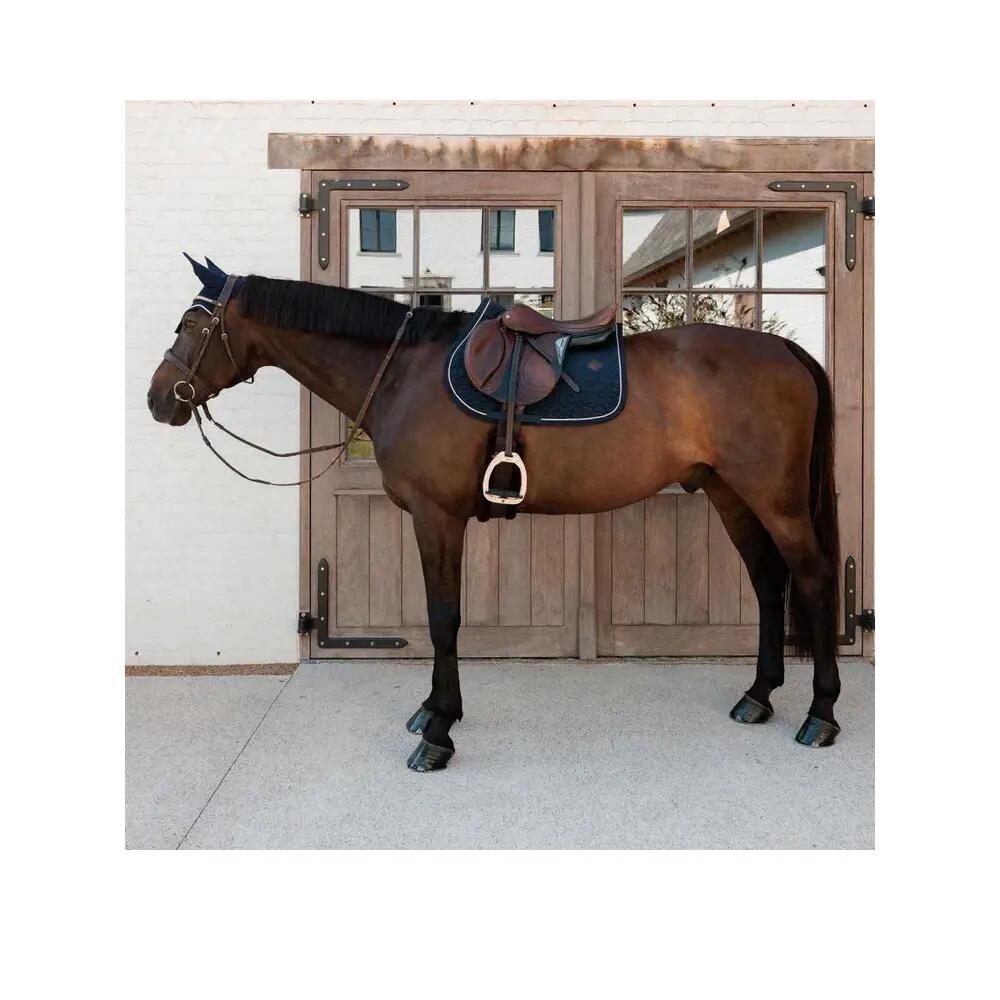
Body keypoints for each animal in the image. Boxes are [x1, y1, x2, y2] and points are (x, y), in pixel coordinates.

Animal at [147, 255, 843, 772]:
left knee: (811, 581)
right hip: (731, 495)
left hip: (776, 500)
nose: (159, 399)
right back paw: (758, 697)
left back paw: (820, 716)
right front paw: (432, 712)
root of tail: (788, 352)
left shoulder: (436, 517)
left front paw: (437, 735)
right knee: (768, 582)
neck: (405, 372)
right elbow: (442, 619)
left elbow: (444, 618)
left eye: (190, 324)